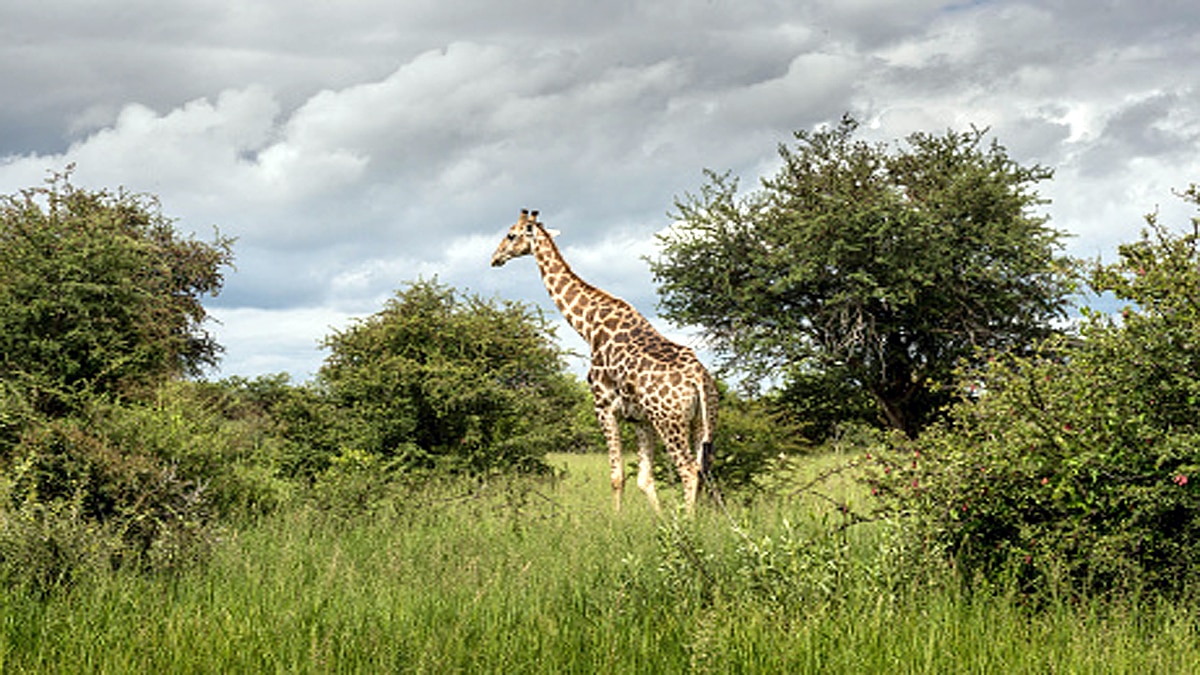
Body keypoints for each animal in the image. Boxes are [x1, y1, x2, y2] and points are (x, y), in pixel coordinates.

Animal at [491, 209, 718, 513]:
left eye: (511, 235)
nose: (495, 258)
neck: (588, 325)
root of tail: (699, 379)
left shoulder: (603, 406)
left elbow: (617, 476)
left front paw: (615, 521)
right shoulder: (640, 419)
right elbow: (644, 479)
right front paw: (659, 520)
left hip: (670, 421)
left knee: (689, 471)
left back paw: (689, 522)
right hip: (701, 423)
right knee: (705, 470)